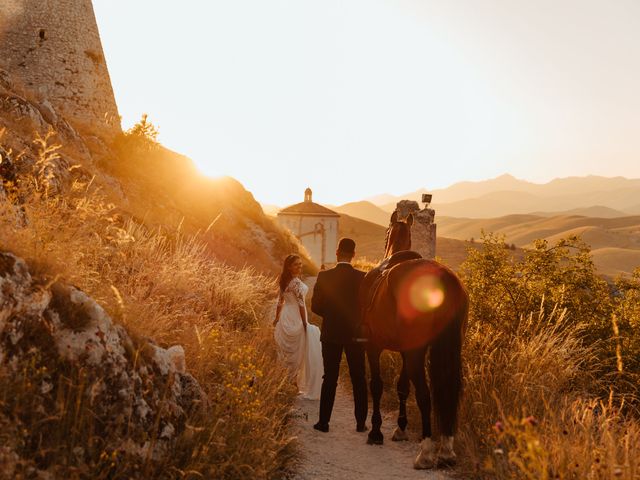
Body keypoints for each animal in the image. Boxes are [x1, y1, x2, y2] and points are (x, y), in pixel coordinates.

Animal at [360, 212, 464, 470]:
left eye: (386, 232)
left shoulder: (373, 346)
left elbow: (376, 385)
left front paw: (375, 432)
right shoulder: (406, 351)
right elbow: (402, 386)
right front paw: (400, 428)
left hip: (416, 354)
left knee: (425, 395)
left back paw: (426, 453)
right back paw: (446, 450)